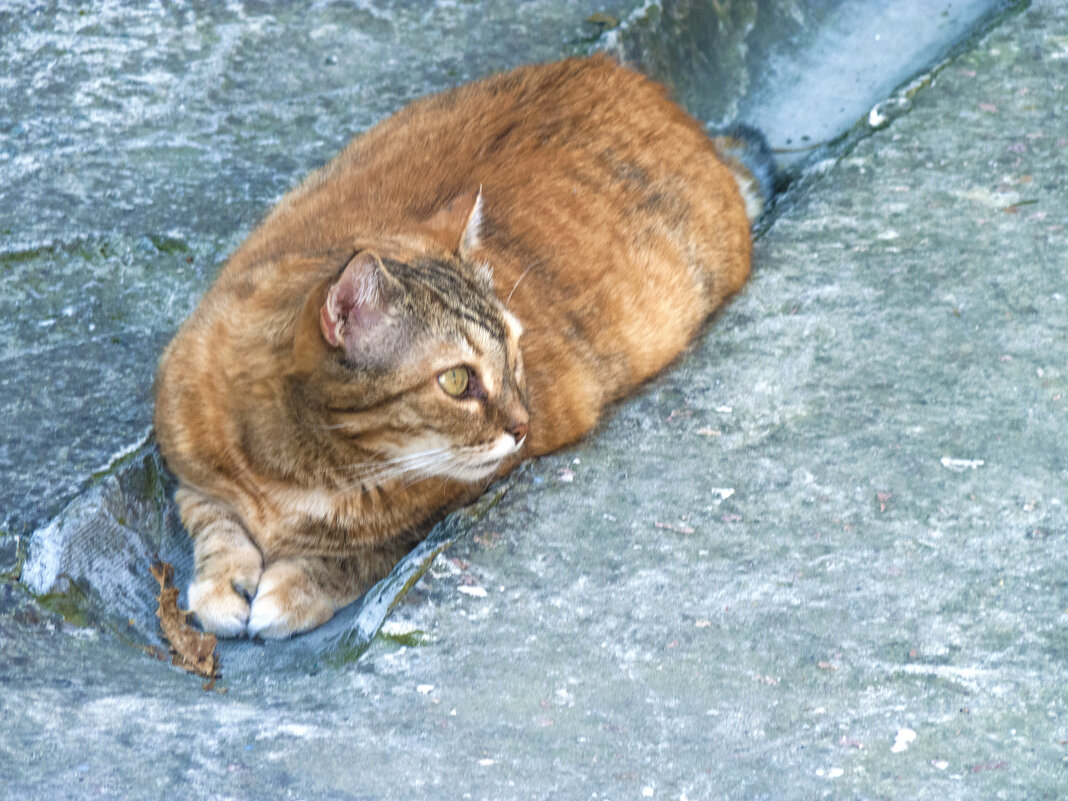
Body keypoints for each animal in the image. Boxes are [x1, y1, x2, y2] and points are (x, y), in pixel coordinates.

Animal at [152, 55, 777, 640]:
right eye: (456, 380)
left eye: (516, 355)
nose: (523, 425)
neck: (293, 469)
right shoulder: (193, 479)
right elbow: (217, 526)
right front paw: (223, 583)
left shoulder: (456, 496)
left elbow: (362, 551)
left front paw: (296, 586)